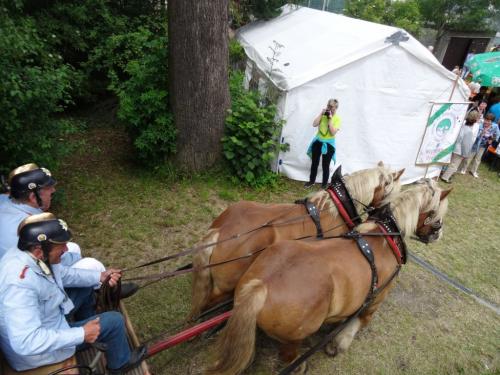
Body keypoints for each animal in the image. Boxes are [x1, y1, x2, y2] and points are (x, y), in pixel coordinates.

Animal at [209, 180, 452, 375]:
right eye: (439, 217)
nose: (438, 235)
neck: (384, 237)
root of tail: (262, 284)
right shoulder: (374, 301)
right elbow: (356, 324)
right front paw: (338, 345)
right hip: (293, 338)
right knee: (289, 355)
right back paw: (299, 366)